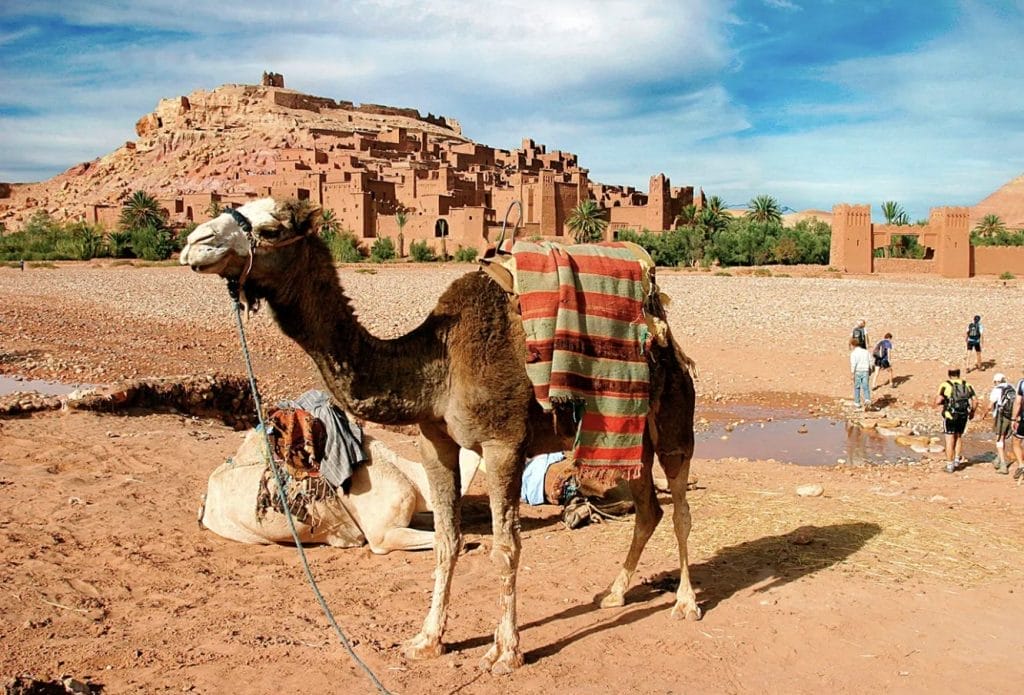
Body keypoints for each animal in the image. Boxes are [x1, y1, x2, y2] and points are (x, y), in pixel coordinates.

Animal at [180, 197, 700, 674]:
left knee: (679, 507)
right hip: (629, 433)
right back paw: (613, 594)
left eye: (271, 229)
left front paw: (505, 652)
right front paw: (428, 639)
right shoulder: (435, 443)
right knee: (648, 508)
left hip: (674, 417)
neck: (438, 366)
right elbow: (447, 541)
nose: (195, 243)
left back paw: (685, 603)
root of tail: (665, 332)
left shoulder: (503, 443)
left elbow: (505, 547)